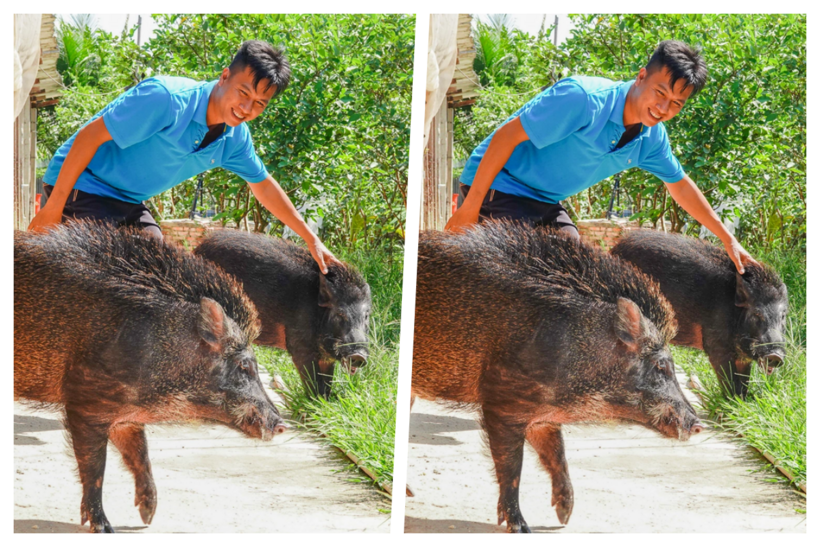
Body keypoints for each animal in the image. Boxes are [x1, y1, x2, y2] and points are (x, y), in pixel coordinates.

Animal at [12, 220, 288, 532]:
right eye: (244, 365)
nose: (282, 425)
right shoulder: (85, 403)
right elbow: (95, 467)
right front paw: (105, 528)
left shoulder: (125, 416)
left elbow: (140, 454)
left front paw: (148, 517)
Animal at [195, 231, 368, 398]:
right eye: (339, 314)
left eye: (366, 316)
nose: (359, 355)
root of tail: (200, 246)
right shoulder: (300, 347)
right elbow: (313, 381)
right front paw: (314, 402)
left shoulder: (326, 357)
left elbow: (327, 381)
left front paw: (325, 402)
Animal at [414, 220, 700, 532]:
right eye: (661, 366)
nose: (698, 425)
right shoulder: (502, 404)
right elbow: (512, 467)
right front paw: (522, 527)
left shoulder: (542, 416)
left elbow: (557, 454)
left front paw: (564, 517)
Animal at [616, 231, 788, 398]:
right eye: (756, 314)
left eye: (783, 316)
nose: (776, 356)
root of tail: (617, 246)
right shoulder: (717, 348)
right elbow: (730, 383)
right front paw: (730, 403)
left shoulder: (743, 358)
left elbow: (743, 383)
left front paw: (742, 402)